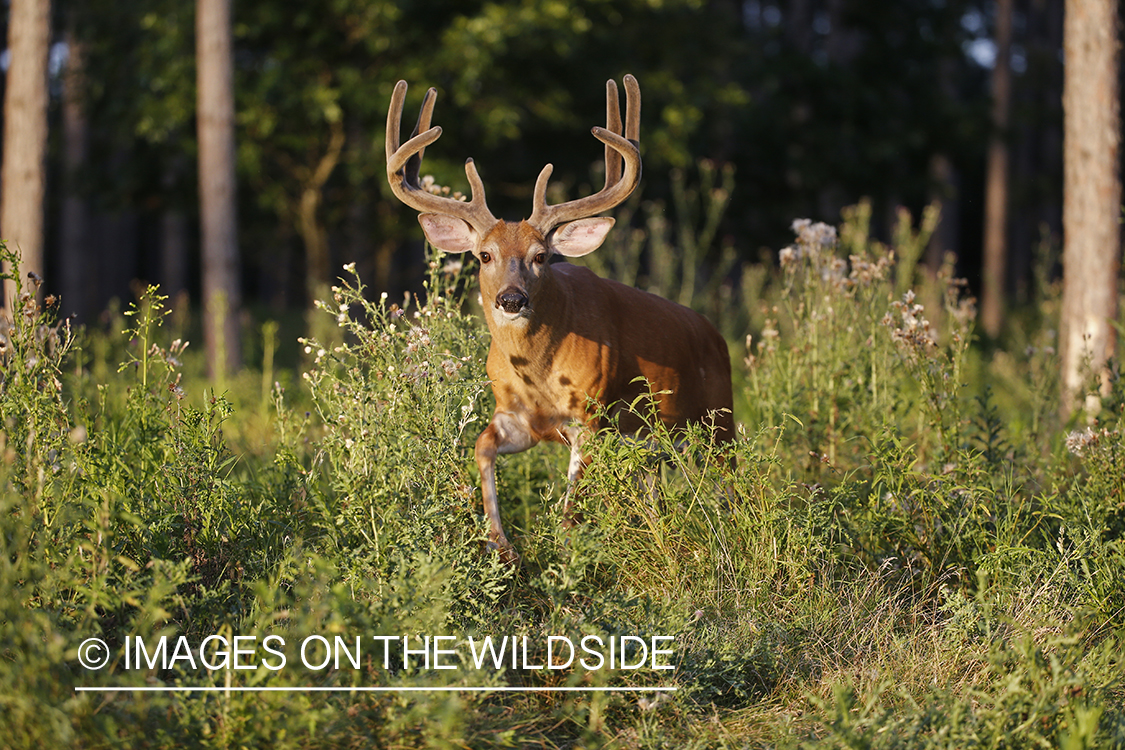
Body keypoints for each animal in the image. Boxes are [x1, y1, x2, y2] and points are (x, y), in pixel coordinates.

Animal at [387, 74, 738, 562]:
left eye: (541, 256)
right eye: (484, 255)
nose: (511, 299)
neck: (538, 376)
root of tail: (716, 335)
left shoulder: (590, 415)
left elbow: (572, 512)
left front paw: (565, 557)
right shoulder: (516, 416)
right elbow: (481, 445)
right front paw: (501, 545)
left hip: (718, 424)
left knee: (733, 487)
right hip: (655, 448)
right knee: (655, 496)